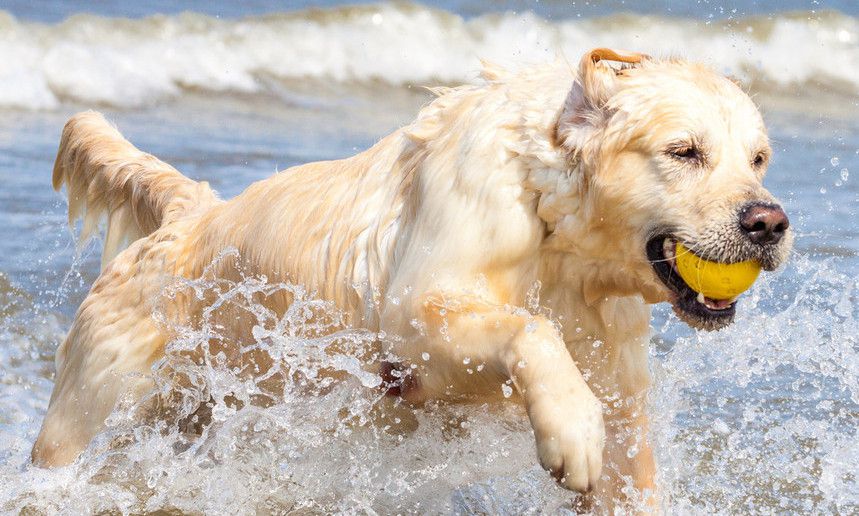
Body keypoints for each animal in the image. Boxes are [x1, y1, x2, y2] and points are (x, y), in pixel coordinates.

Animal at [33, 48, 792, 508]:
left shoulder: (617, 376)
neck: (560, 236)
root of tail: (191, 212)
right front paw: (572, 429)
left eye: (757, 158)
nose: (769, 222)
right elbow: (529, 328)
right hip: (94, 402)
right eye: (684, 152)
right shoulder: (413, 318)